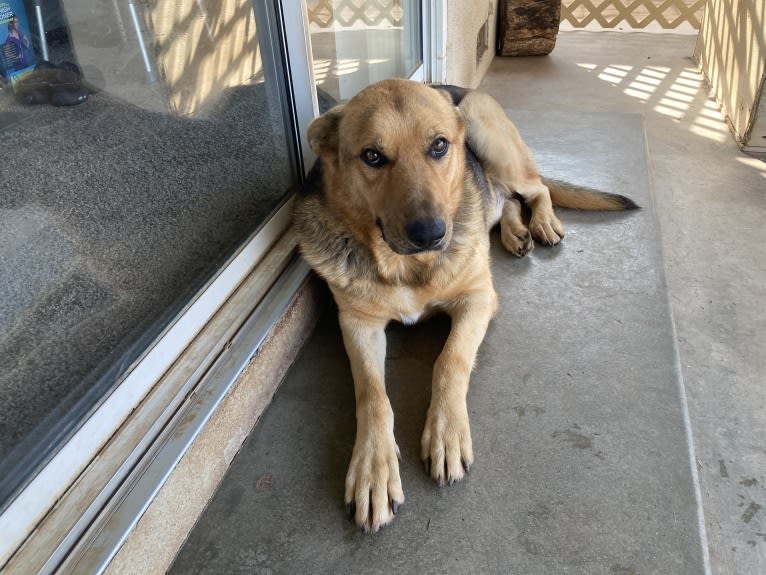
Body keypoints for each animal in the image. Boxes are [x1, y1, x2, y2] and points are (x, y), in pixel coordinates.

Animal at [292, 79, 640, 532]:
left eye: (439, 145)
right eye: (372, 156)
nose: (430, 234)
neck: (409, 267)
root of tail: (458, 89)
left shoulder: (477, 300)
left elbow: (450, 361)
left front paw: (446, 432)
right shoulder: (358, 323)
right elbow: (372, 393)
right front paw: (373, 467)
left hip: (485, 132)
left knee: (535, 189)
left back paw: (541, 222)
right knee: (504, 199)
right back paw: (515, 231)